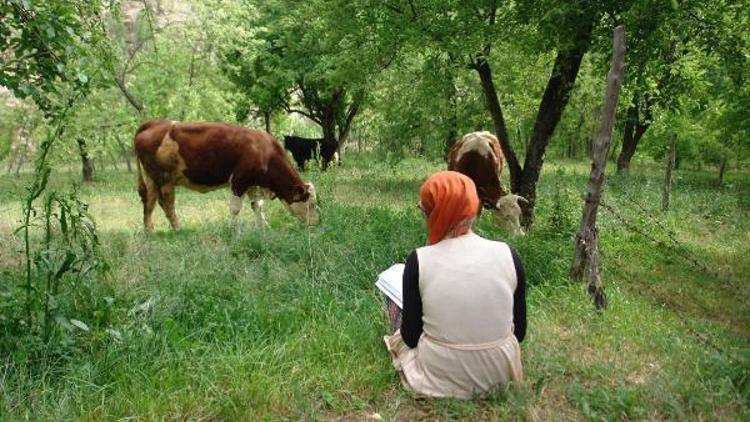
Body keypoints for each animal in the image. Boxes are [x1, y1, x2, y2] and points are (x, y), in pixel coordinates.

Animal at [135, 119, 320, 234]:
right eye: (311, 204)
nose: (316, 223)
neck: (264, 151)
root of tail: (155, 123)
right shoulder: (239, 181)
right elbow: (235, 208)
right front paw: (231, 229)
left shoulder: (253, 184)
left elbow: (257, 206)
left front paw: (264, 227)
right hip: (165, 179)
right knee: (167, 203)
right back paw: (178, 228)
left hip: (152, 179)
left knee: (149, 202)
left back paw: (149, 231)